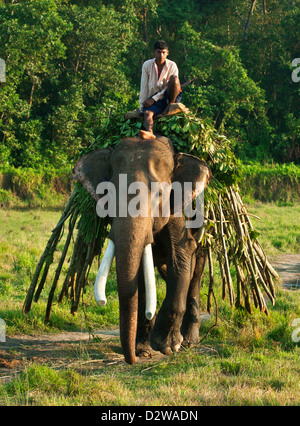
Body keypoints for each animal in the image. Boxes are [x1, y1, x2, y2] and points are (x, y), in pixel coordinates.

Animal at [74, 136, 212, 362]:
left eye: (159, 194)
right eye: (107, 195)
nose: (131, 359)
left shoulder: (176, 210)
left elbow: (181, 258)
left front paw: (167, 347)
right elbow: (139, 277)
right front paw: (143, 351)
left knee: (196, 271)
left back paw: (189, 342)